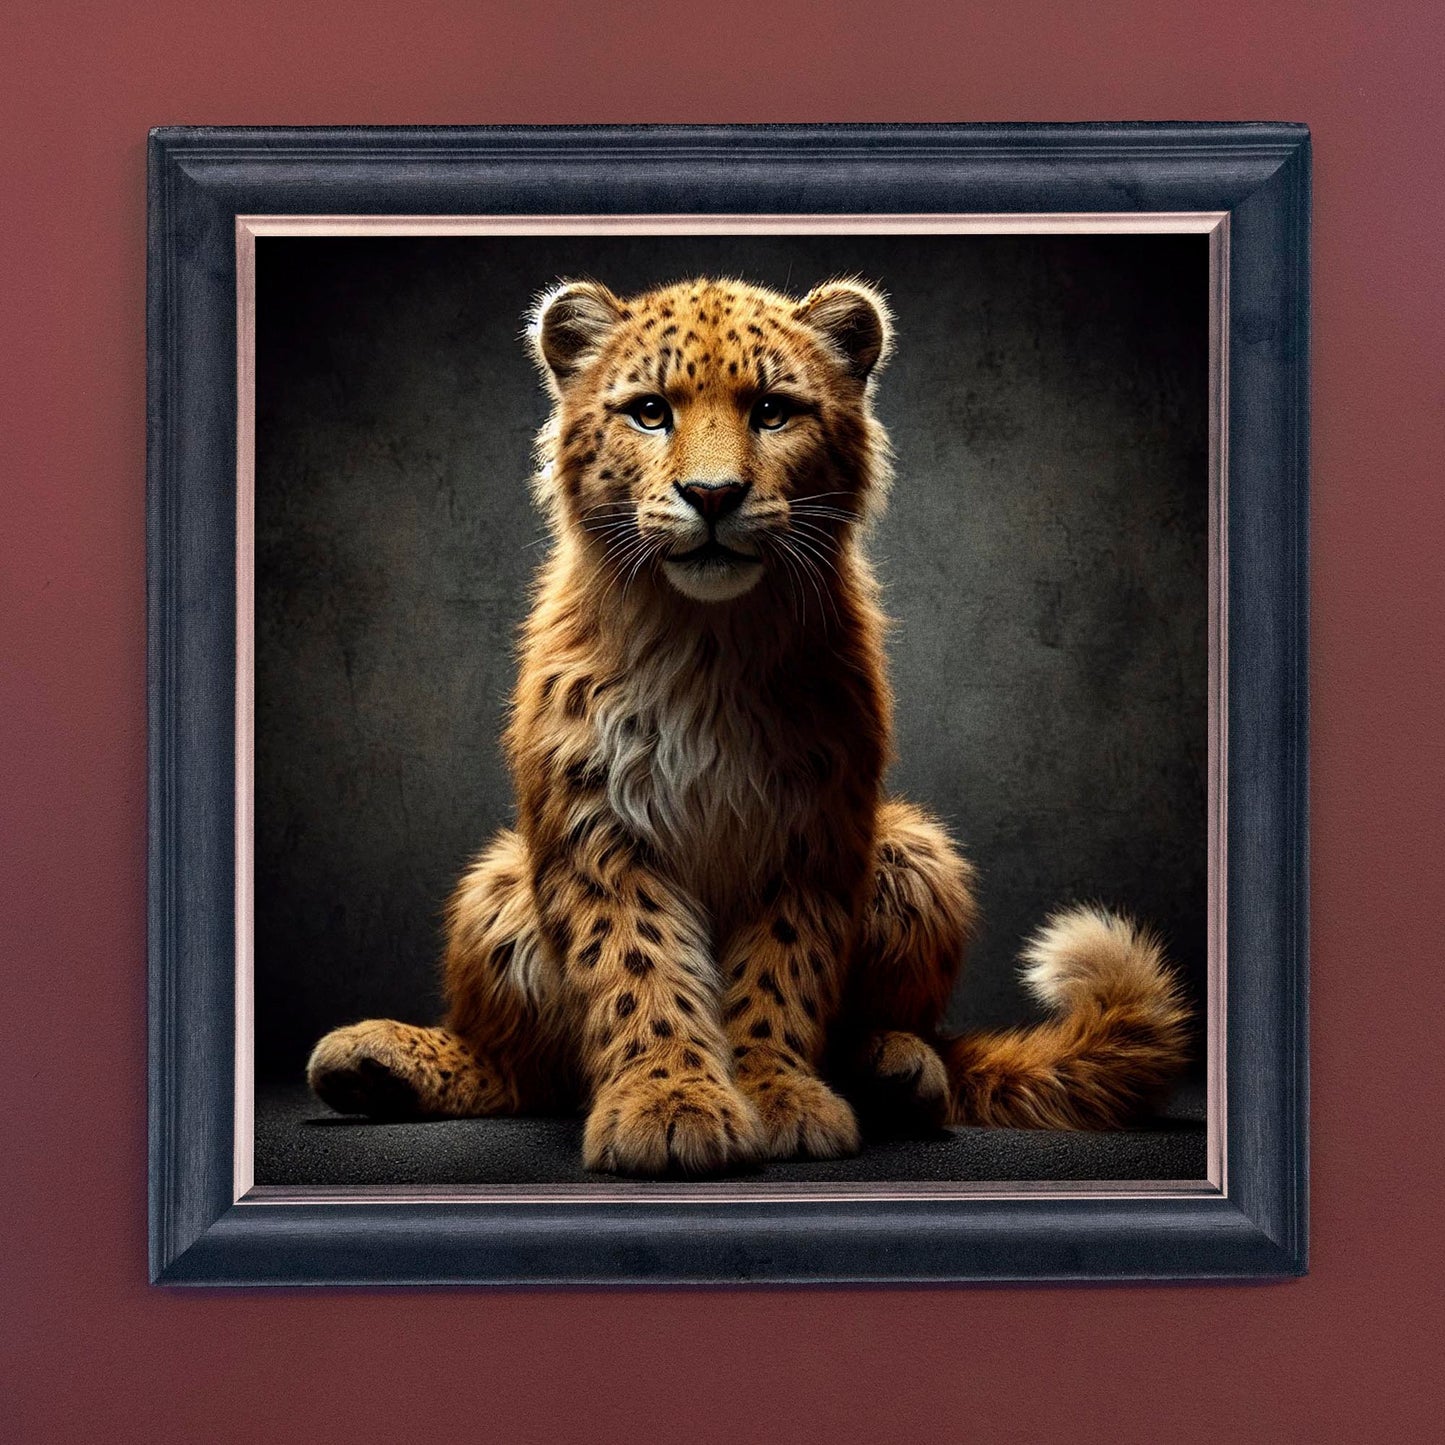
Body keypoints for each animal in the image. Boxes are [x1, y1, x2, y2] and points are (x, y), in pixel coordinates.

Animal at [306, 274, 1191, 1176]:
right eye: (650, 411)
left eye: (771, 410)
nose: (711, 495)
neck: (708, 640)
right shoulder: (596, 824)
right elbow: (637, 965)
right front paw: (668, 1105)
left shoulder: (812, 826)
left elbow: (781, 970)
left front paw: (776, 1098)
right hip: (497, 881)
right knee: (523, 1068)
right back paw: (373, 1063)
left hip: (915, 850)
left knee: (933, 1046)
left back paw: (894, 1069)